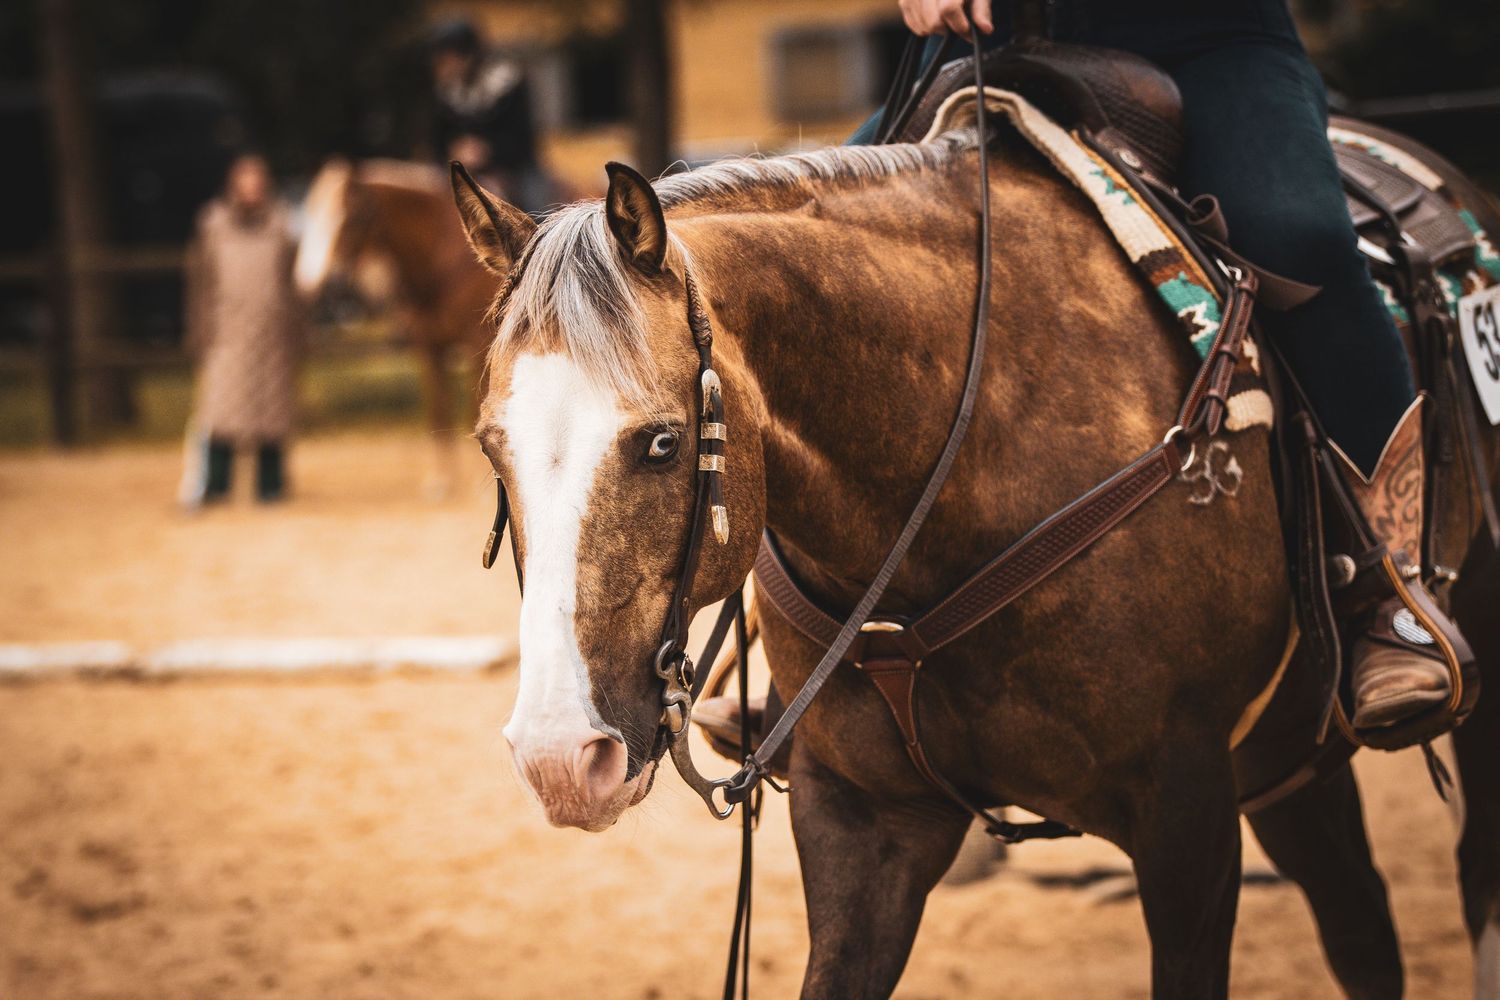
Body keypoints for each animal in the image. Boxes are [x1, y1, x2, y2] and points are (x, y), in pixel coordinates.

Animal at [294, 159, 498, 496]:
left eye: (353, 217)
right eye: (312, 216)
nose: (321, 286)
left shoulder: (476, 347)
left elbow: (473, 412)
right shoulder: (429, 348)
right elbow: (438, 408)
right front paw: (440, 479)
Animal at [451, 110, 1500, 998]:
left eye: (663, 442)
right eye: (491, 448)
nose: (558, 757)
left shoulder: (1186, 815)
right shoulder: (864, 824)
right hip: (1287, 763)